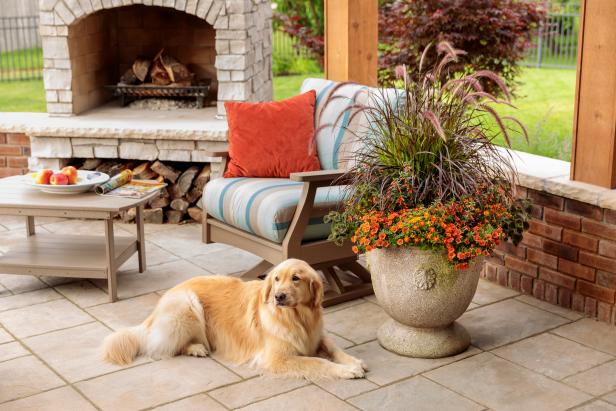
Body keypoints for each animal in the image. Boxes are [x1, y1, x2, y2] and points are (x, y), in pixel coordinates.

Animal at [102, 260, 366, 382]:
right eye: (277, 279)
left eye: (296, 278)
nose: (279, 296)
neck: (297, 318)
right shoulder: (276, 358)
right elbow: (317, 362)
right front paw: (347, 371)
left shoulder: (317, 335)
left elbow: (334, 348)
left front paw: (353, 362)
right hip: (188, 305)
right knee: (165, 347)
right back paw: (196, 348)